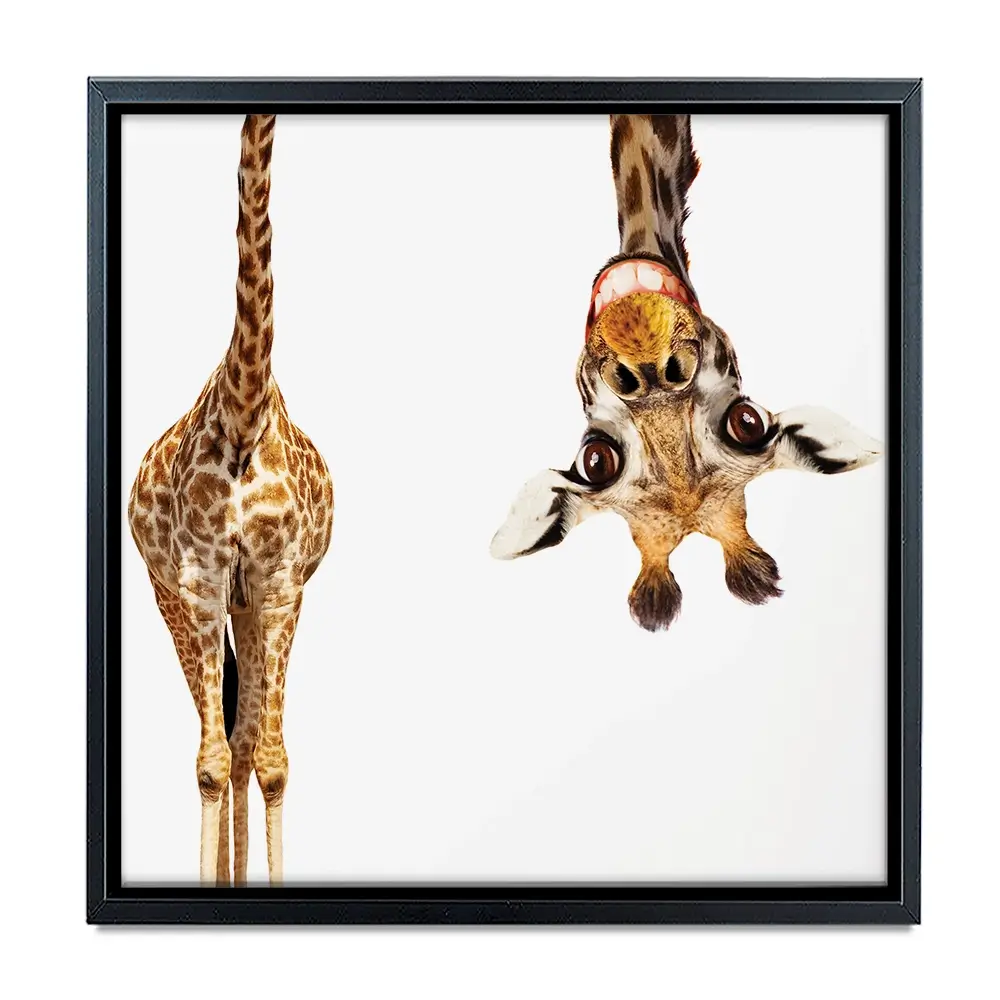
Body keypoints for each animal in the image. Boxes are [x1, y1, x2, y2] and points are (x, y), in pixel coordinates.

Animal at [128, 114, 334, 885]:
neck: (244, 413)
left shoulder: (278, 582)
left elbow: (268, 760)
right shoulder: (198, 580)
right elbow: (211, 763)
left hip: (254, 606)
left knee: (245, 742)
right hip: (174, 598)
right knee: (216, 738)